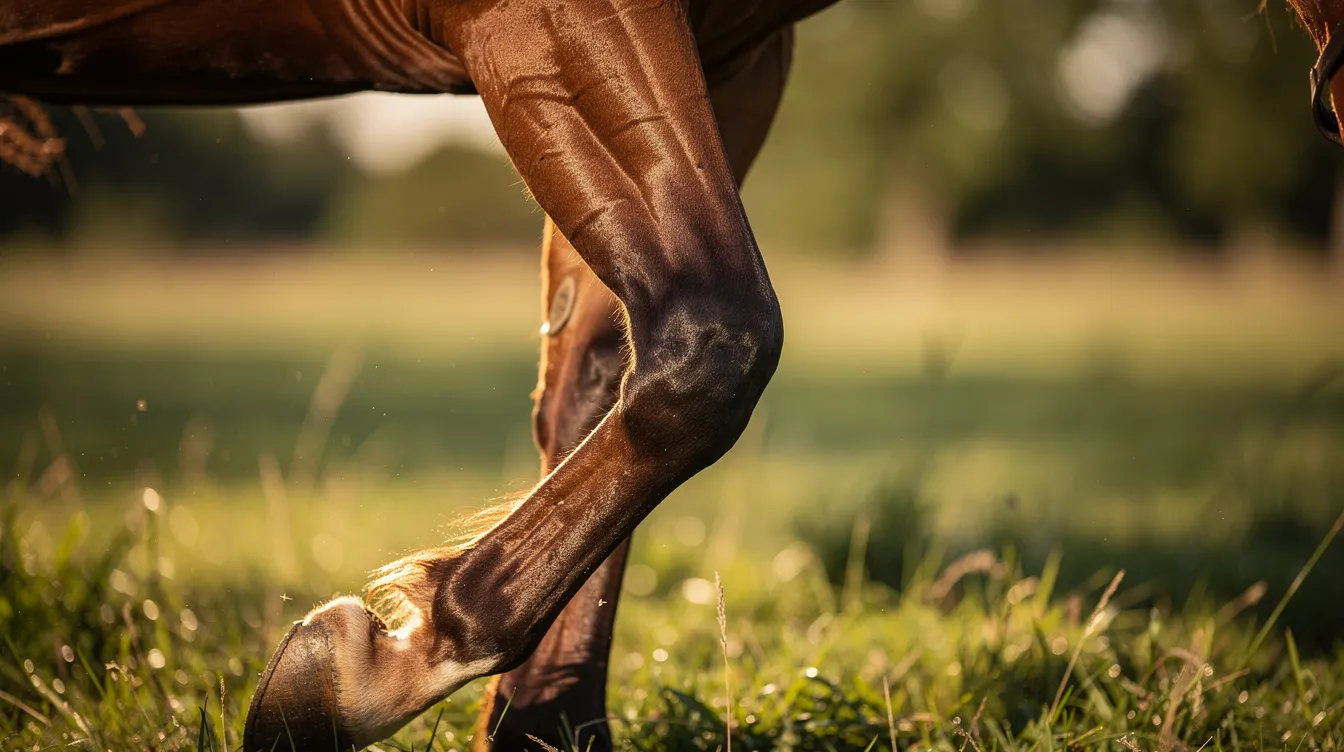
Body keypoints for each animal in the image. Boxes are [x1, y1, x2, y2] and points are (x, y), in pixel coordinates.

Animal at [2, 0, 840, 749]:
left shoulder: (737, 56)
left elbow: (601, 380)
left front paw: (544, 727)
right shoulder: (544, 19)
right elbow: (714, 342)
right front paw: (391, 667)